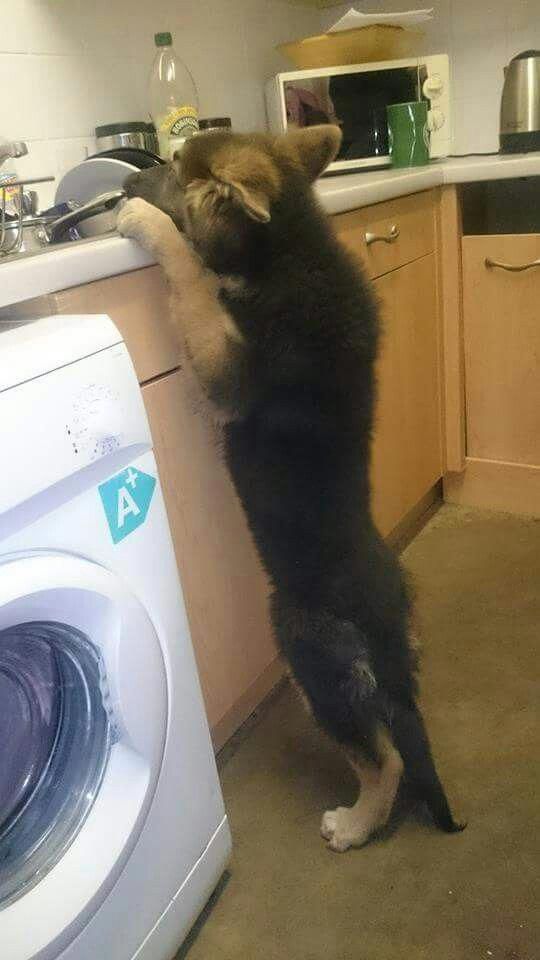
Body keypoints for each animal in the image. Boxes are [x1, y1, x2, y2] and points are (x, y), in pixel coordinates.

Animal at [116, 125, 462, 848]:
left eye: (171, 165)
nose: (125, 184)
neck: (290, 246)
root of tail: (382, 624)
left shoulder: (224, 370)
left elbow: (191, 276)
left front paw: (147, 223)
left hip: (307, 655)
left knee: (385, 757)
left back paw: (354, 824)